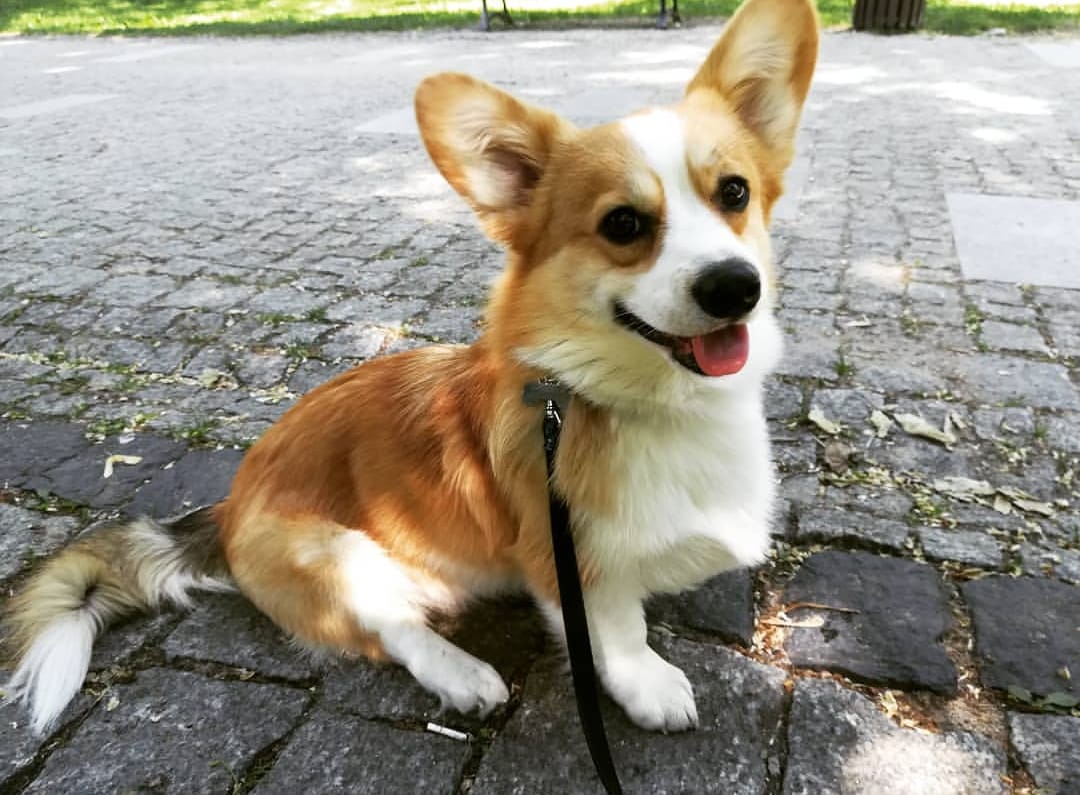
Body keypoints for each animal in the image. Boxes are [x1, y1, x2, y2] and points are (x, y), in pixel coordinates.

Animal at [6, 0, 816, 734]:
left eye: (735, 192)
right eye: (623, 224)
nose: (734, 286)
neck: (640, 401)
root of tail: (226, 511)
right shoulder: (567, 558)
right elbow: (616, 628)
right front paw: (647, 683)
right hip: (334, 552)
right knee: (390, 630)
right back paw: (462, 674)